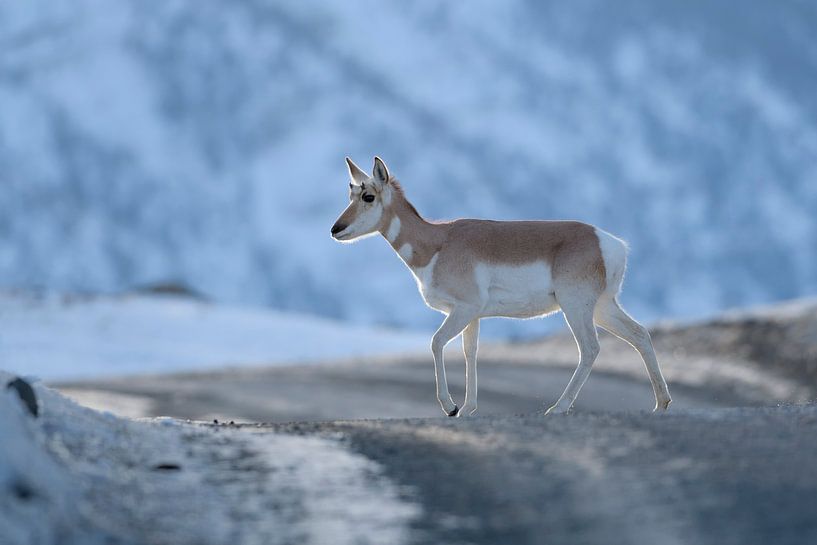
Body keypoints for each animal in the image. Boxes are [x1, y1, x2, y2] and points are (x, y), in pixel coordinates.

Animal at [330, 157, 668, 416]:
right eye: (350, 194)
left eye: (368, 196)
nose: (336, 229)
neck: (438, 242)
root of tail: (610, 243)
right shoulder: (472, 316)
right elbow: (470, 352)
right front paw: (467, 409)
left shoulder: (463, 309)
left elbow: (436, 343)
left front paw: (451, 407)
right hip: (602, 307)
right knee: (640, 334)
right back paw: (660, 403)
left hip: (576, 307)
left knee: (590, 348)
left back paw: (557, 408)